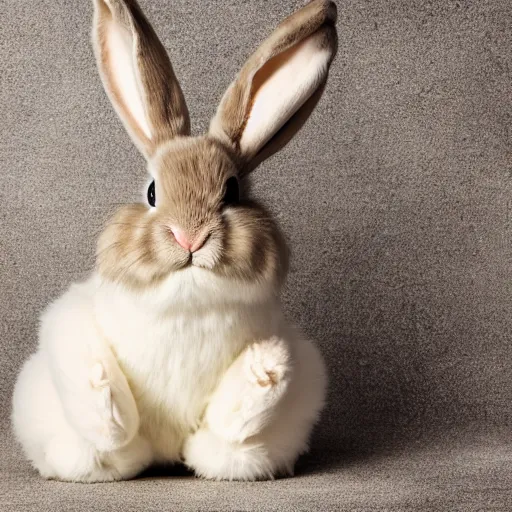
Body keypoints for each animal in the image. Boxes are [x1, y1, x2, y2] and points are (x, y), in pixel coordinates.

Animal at [11, 0, 336, 482]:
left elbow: (271, 372)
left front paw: (258, 377)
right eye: (151, 192)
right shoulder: (69, 319)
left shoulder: (291, 347)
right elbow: (87, 364)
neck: (187, 303)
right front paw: (110, 406)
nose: (190, 237)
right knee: (110, 453)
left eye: (232, 191)